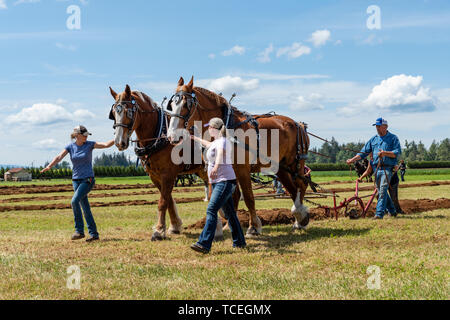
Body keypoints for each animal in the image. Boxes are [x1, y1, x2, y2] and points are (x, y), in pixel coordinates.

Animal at [108, 84, 239, 240]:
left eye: (128, 112)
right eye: (113, 113)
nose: (119, 142)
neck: (159, 135)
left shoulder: (168, 174)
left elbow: (163, 201)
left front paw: (158, 231)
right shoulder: (155, 176)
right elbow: (168, 199)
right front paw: (174, 226)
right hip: (204, 170)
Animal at [167, 77, 312, 238]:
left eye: (187, 104)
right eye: (171, 105)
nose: (172, 136)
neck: (225, 127)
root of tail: (298, 124)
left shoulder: (242, 170)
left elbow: (248, 197)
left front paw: (253, 227)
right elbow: (223, 197)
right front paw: (221, 227)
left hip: (295, 163)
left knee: (301, 184)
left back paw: (300, 216)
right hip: (281, 167)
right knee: (292, 189)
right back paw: (299, 219)